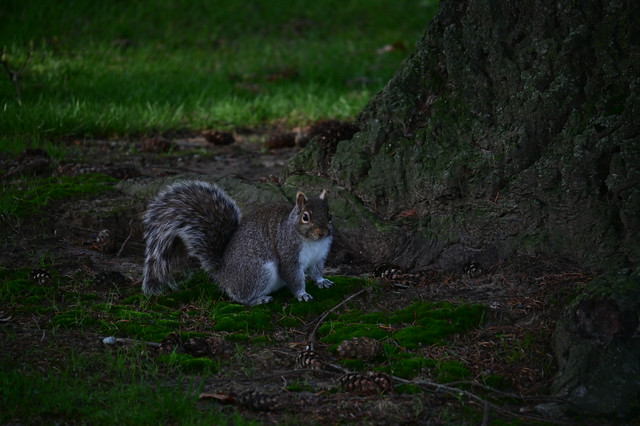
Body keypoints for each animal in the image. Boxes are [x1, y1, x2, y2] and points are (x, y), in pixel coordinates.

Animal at [142, 180, 334, 306]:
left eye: (330, 215)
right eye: (305, 217)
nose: (322, 232)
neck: (312, 241)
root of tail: (223, 274)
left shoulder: (319, 256)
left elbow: (316, 271)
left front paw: (322, 281)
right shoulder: (289, 254)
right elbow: (294, 276)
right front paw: (302, 294)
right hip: (259, 272)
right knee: (241, 298)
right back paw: (258, 299)